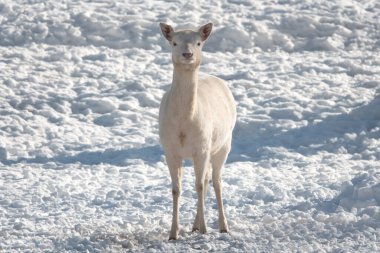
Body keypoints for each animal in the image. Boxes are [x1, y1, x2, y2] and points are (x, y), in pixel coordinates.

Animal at [158, 22, 236, 240]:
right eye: (174, 42)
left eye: (198, 42)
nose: (187, 54)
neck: (183, 125)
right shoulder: (170, 149)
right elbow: (176, 189)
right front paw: (173, 233)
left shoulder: (201, 147)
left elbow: (199, 185)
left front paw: (204, 229)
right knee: (208, 178)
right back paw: (194, 225)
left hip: (223, 145)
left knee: (216, 181)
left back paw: (222, 226)